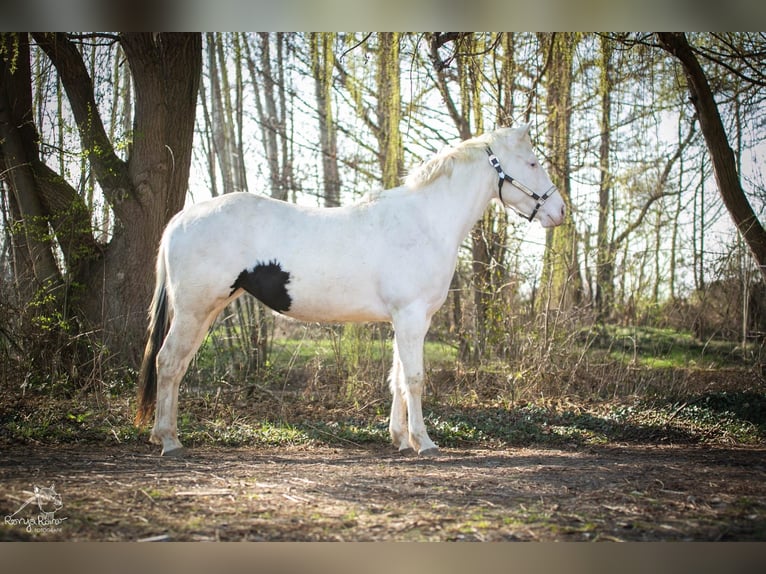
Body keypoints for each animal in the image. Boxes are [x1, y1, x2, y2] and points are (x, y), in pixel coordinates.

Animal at [135, 125, 566, 456]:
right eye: (532, 163)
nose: (559, 211)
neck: (425, 221)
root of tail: (180, 219)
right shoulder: (411, 316)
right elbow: (414, 379)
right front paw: (424, 442)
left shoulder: (408, 319)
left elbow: (397, 377)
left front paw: (400, 439)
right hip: (194, 311)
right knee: (168, 363)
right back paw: (170, 441)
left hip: (205, 312)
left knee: (176, 366)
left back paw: (161, 434)